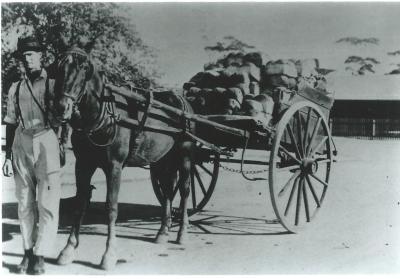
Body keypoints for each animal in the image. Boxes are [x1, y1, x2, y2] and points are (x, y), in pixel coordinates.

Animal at [52, 48, 196, 272]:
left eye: (83, 69)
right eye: (58, 68)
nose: (61, 108)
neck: (104, 114)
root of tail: (183, 101)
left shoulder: (114, 166)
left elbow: (111, 208)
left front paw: (109, 254)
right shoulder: (83, 165)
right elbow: (79, 204)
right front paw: (68, 250)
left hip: (185, 156)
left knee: (184, 190)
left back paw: (182, 232)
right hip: (163, 160)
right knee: (167, 190)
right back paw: (163, 231)